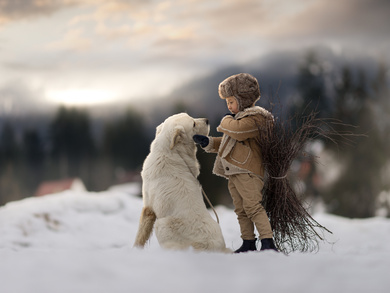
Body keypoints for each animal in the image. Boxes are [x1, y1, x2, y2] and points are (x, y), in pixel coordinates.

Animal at [134, 113, 230, 252]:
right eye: (193, 124)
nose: (207, 120)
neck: (168, 151)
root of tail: (219, 249)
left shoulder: (148, 208)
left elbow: (140, 236)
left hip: (162, 224)